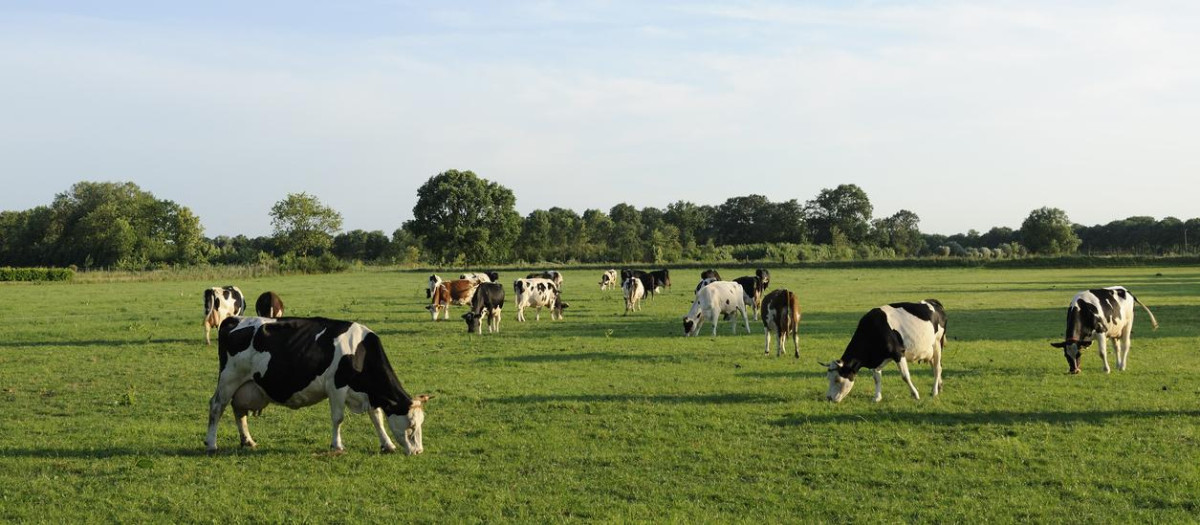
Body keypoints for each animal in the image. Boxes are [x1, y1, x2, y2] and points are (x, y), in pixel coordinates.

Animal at [204, 316, 432, 454]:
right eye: (412, 426)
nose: (418, 451)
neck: (359, 351)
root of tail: (234, 319)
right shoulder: (337, 386)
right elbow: (338, 418)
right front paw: (337, 445)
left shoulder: (369, 394)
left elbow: (377, 418)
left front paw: (387, 444)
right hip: (229, 379)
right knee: (216, 407)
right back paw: (211, 444)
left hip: (244, 385)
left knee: (238, 410)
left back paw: (247, 441)